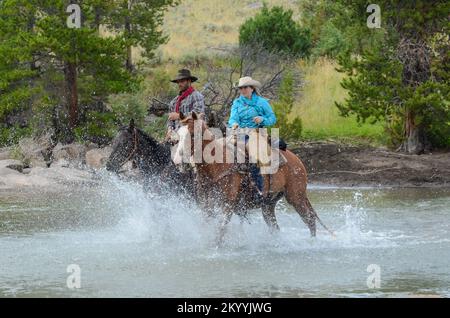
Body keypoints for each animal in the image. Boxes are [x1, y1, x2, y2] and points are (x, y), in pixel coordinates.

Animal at [173, 113, 334, 245]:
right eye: (178, 135)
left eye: (193, 134)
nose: (178, 160)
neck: (216, 166)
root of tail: (296, 160)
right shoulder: (206, 204)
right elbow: (208, 225)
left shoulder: (228, 203)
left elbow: (221, 229)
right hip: (268, 205)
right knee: (275, 227)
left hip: (296, 197)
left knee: (310, 220)